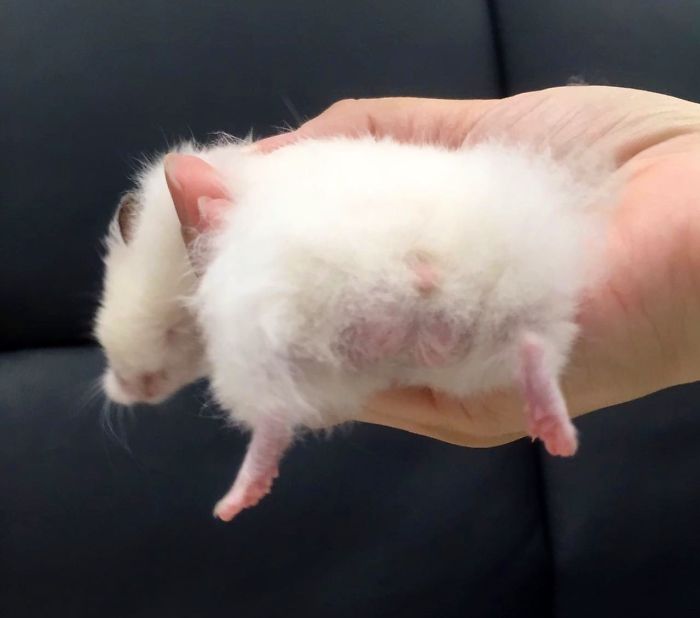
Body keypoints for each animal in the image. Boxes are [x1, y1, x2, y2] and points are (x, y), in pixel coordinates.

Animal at [163, 136, 614, 522]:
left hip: (249, 328)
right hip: (525, 294)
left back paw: (233, 502)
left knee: (270, 419)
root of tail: (413, 257)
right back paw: (558, 434)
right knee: (534, 346)